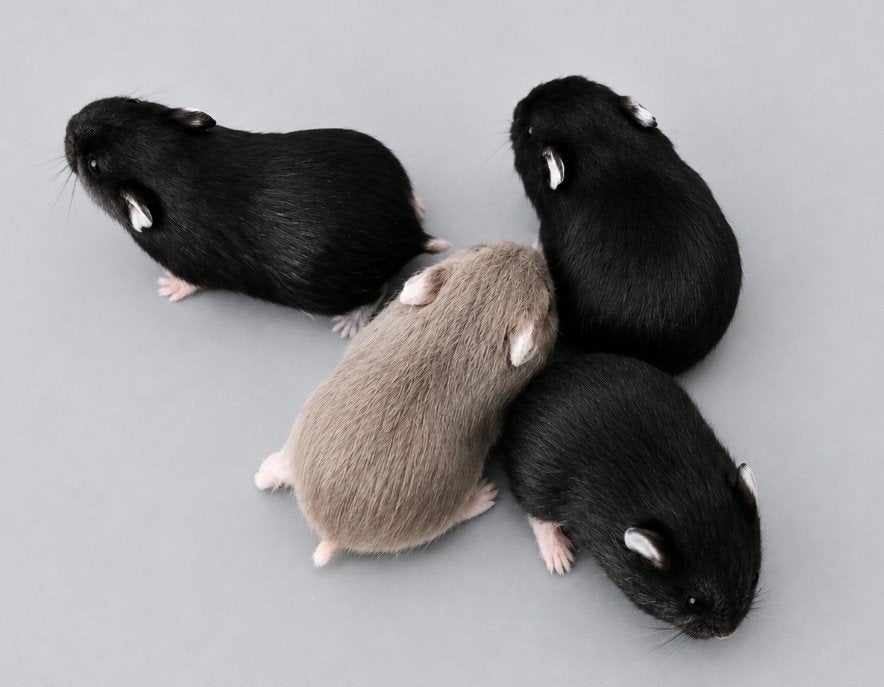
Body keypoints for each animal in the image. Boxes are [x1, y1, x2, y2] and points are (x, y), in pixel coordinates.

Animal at [64, 97, 448, 336]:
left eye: (93, 165)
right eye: (132, 103)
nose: (70, 123)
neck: (176, 164)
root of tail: (408, 232)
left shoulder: (188, 264)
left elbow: (188, 282)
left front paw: (168, 287)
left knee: (376, 292)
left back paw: (351, 321)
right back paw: (418, 203)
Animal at [255, 241, 558, 565]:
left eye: (478, 247)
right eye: (550, 302)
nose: (531, 248)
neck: (469, 318)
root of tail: (330, 533)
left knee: (278, 470)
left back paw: (264, 473)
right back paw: (484, 495)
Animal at [497, 354, 761, 639]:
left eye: (753, 577)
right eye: (693, 603)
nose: (727, 633)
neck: (685, 499)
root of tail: (531, 390)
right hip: (538, 484)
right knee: (537, 516)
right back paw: (559, 556)